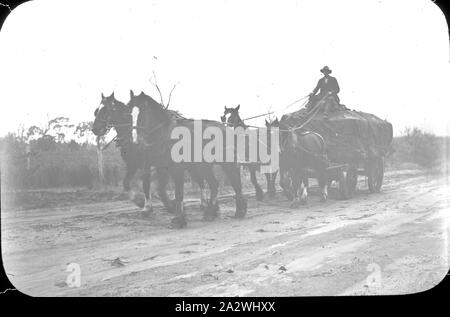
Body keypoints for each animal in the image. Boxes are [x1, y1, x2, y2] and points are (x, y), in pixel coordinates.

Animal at [125, 90, 248, 226]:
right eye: (128, 113)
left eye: (142, 114)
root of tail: (225, 127)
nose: (136, 141)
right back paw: (215, 212)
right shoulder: (160, 166)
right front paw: (169, 209)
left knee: (233, 181)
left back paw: (231, 211)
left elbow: (179, 192)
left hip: (224, 163)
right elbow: (158, 188)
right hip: (203, 166)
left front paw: (179, 219)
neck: (165, 134)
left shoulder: (177, 168)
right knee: (216, 184)